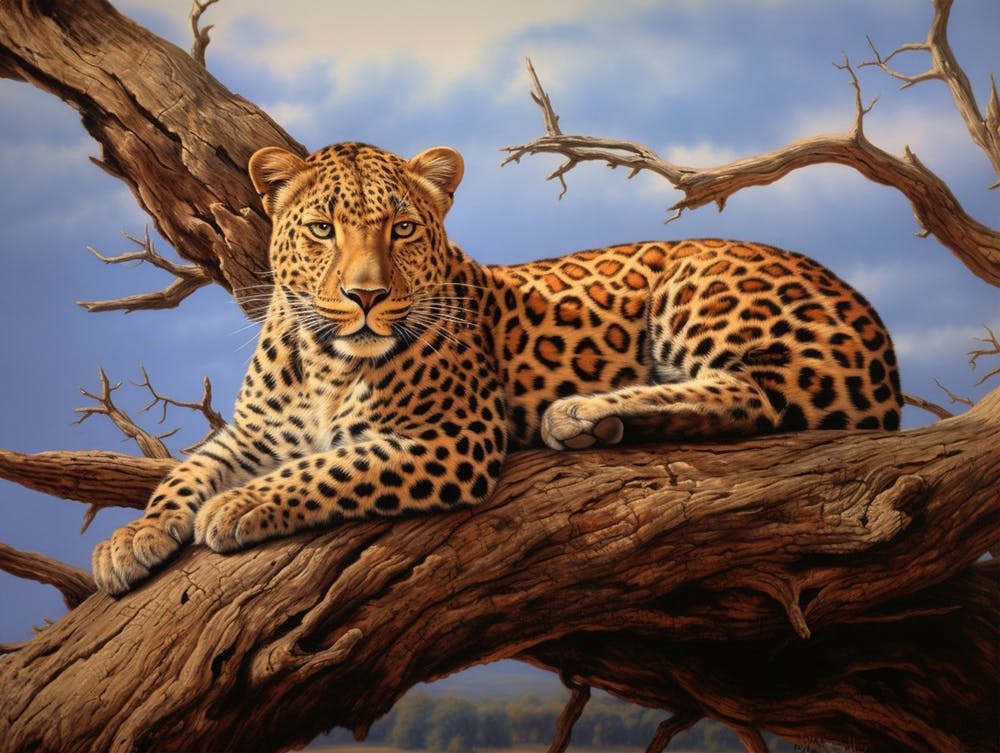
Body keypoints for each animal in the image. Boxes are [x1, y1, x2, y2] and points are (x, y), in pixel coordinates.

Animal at [92, 141, 902, 594]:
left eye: (402, 228)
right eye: (322, 229)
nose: (365, 296)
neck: (325, 361)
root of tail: (878, 332)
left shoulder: (451, 437)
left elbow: (327, 468)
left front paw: (241, 504)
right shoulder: (255, 433)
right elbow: (187, 470)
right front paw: (132, 539)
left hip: (698, 282)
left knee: (750, 392)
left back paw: (582, 413)